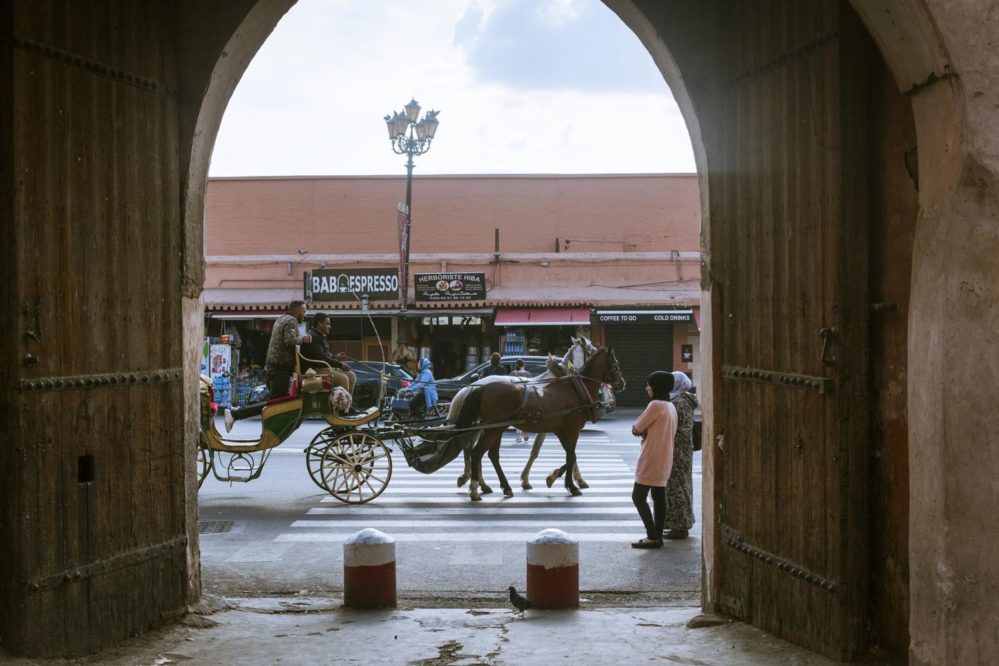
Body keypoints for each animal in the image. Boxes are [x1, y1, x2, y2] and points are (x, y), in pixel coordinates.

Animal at [452, 348, 624, 498]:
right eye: (615, 365)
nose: (622, 384)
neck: (576, 389)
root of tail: (481, 388)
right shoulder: (572, 430)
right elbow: (570, 456)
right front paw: (572, 485)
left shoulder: (560, 431)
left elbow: (570, 456)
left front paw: (553, 477)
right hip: (492, 429)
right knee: (476, 453)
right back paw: (475, 487)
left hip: (495, 428)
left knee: (490, 455)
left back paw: (502, 486)